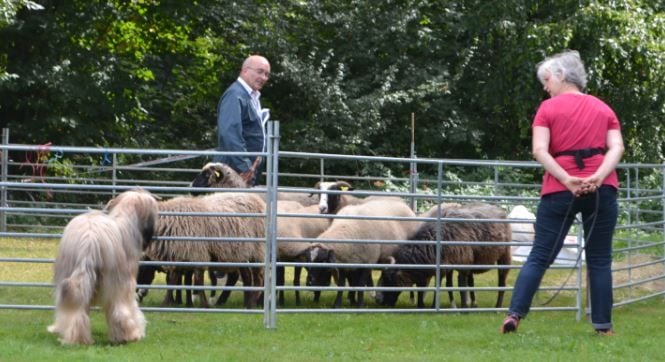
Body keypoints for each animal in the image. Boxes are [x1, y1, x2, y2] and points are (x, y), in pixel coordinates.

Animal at [47, 189, 159, 346]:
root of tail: (89, 240)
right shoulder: (128, 281)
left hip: (68, 270)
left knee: (75, 309)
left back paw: (76, 338)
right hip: (115, 279)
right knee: (119, 311)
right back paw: (127, 336)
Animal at [376, 202, 510, 310]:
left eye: (388, 279)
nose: (380, 302)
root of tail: (499, 209)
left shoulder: (462, 263)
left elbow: (460, 285)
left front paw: (462, 308)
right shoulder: (445, 265)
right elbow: (442, 285)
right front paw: (433, 305)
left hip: (505, 255)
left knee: (502, 282)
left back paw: (497, 307)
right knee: (471, 281)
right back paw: (474, 303)